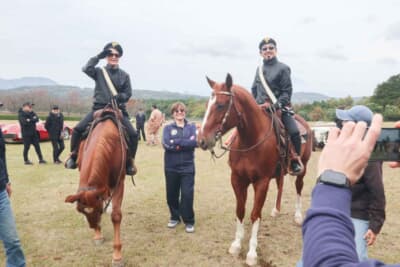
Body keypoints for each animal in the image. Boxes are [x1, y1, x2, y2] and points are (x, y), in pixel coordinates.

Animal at [65, 105, 126, 266]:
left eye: (98, 210)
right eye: (81, 211)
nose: (93, 226)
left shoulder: (119, 182)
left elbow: (116, 216)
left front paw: (117, 255)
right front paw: (98, 235)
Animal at [197, 74, 312, 266]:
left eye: (220, 104)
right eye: (207, 105)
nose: (202, 140)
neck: (250, 140)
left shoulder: (261, 182)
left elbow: (255, 214)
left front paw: (251, 253)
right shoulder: (237, 180)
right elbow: (240, 211)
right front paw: (236, 245)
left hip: (302, 168)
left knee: (298, 188)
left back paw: (297, 216)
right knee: (280, 185)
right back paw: (276, 210)